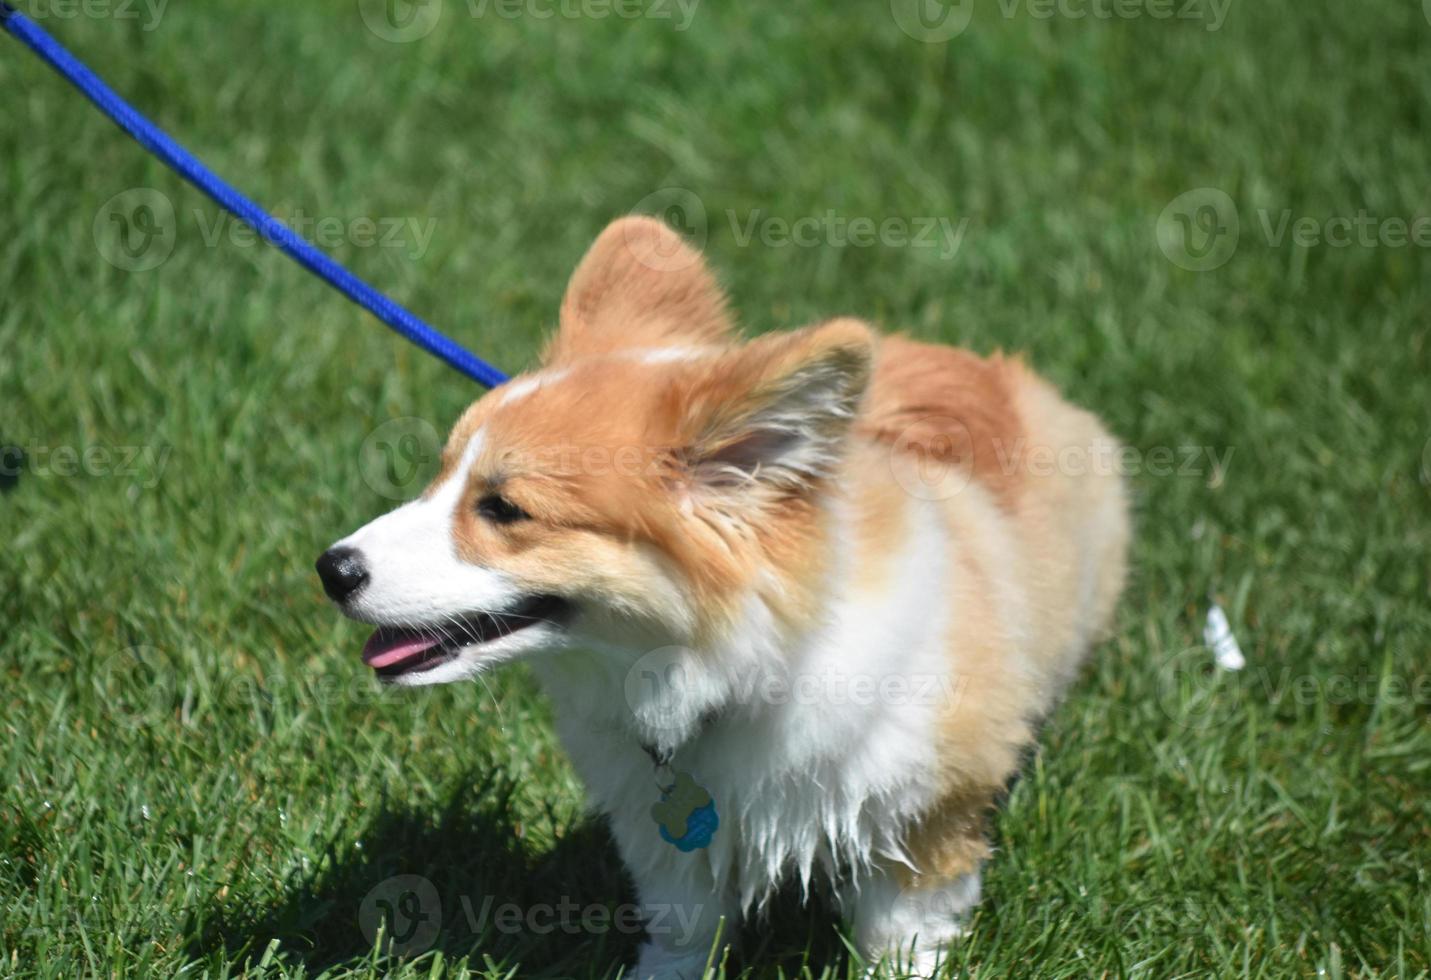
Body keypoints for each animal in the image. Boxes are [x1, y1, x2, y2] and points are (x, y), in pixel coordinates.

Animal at [316, 217, 1127, 972]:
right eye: (439, 476)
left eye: (504, 509)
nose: (331, 569)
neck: (734, 668)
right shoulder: (662, 836)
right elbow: (683, 923)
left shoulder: (927, 811)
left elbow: (902, 931)